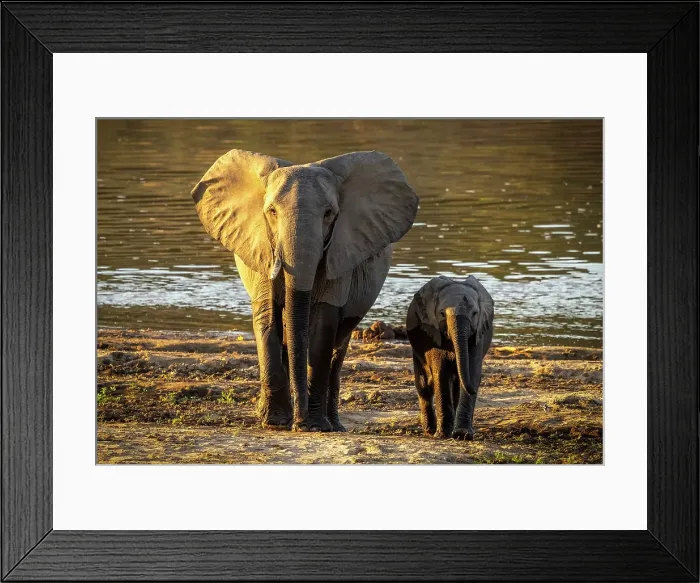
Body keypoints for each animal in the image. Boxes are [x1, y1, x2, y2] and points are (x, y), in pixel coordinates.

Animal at [192, 149, 419, 432]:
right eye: (272, 212)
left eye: (329, 213)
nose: (298, 423)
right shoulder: (261, 248)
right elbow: (267, 318)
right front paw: (276, 422)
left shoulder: (340, 253)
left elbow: (323, 325)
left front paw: (313, 426)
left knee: (337, 348)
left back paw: (334, 425)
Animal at [406, 275, 494, 440]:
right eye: (441, 313)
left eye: (474, 313)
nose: (475, 389)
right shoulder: (433, 333)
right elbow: (441, 373)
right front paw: (442, 435)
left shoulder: (478, 334)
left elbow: (471, 371)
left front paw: (462, 435)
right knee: (424, 385)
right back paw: (429, 431)